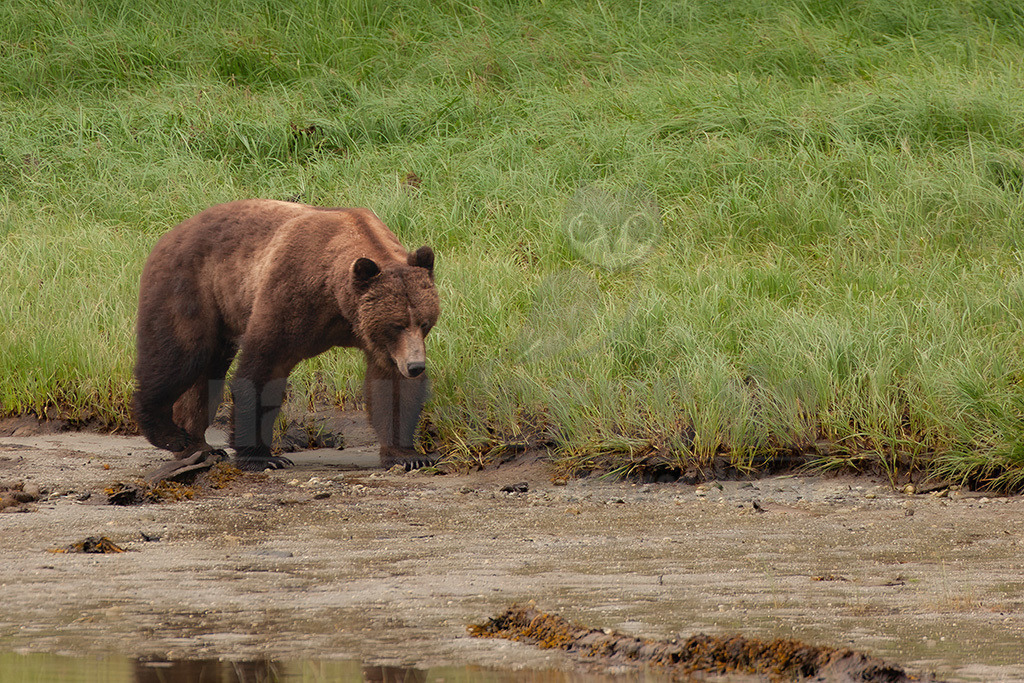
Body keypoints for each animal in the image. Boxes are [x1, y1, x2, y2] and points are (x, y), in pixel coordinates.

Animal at [133, 199, 441, 474]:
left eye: (424, 322)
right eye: (396, 324)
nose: (416, 366)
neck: (338, 300)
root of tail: (170, 233)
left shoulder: (377, 339)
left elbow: (391, 386)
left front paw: (408, 456)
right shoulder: (292, 294)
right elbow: (264, 367)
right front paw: (263, 457)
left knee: (207, 374)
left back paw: (198, 445)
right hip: (190, 288)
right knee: (181, 355)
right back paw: (169, 433)